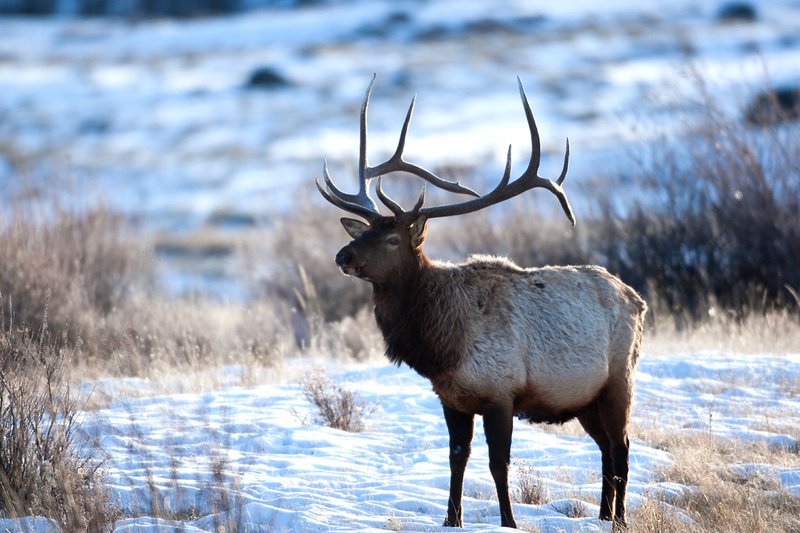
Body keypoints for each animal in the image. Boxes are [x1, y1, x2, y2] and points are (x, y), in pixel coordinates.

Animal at [316, 75, 647, 529]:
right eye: (364, 231)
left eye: (392, 238)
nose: (342, 256)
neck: (441, 348)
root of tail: (637, 299)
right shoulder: (452, 398)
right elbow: (457, 458)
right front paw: (450, 519)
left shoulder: (500, 392)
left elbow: (498, 463)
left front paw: (509, 521)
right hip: (585, 398)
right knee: (605, 451)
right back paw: (600, 516)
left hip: (619, 380)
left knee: (623, 448)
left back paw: (619, 520)